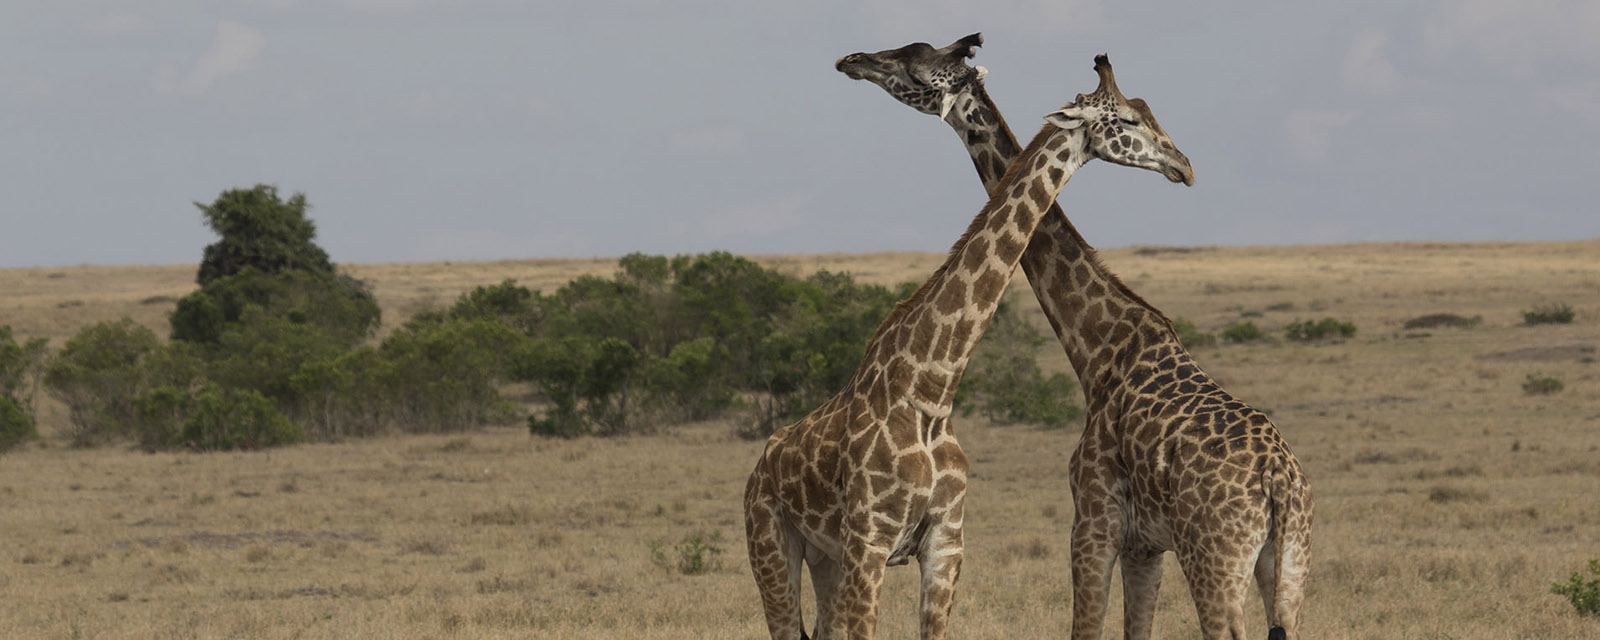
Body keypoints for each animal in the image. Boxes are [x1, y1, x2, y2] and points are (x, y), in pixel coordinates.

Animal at [742, 48, 1196, 633]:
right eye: (1130, 119)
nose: (1183, 165)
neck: (932, 390)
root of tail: (760, 465)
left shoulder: (945, 544)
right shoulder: (869, 541)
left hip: (825, 556)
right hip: (771, 543)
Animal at [838, 33, 1312, 640]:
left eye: (916, 65)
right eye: (1135, 116)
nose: (1183, 166)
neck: (1098, 350)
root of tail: (1279, 483)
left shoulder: (1092, 521)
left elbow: (1085, 627)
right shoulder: (1144, 545)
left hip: (1215, 557)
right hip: (1290, 562)